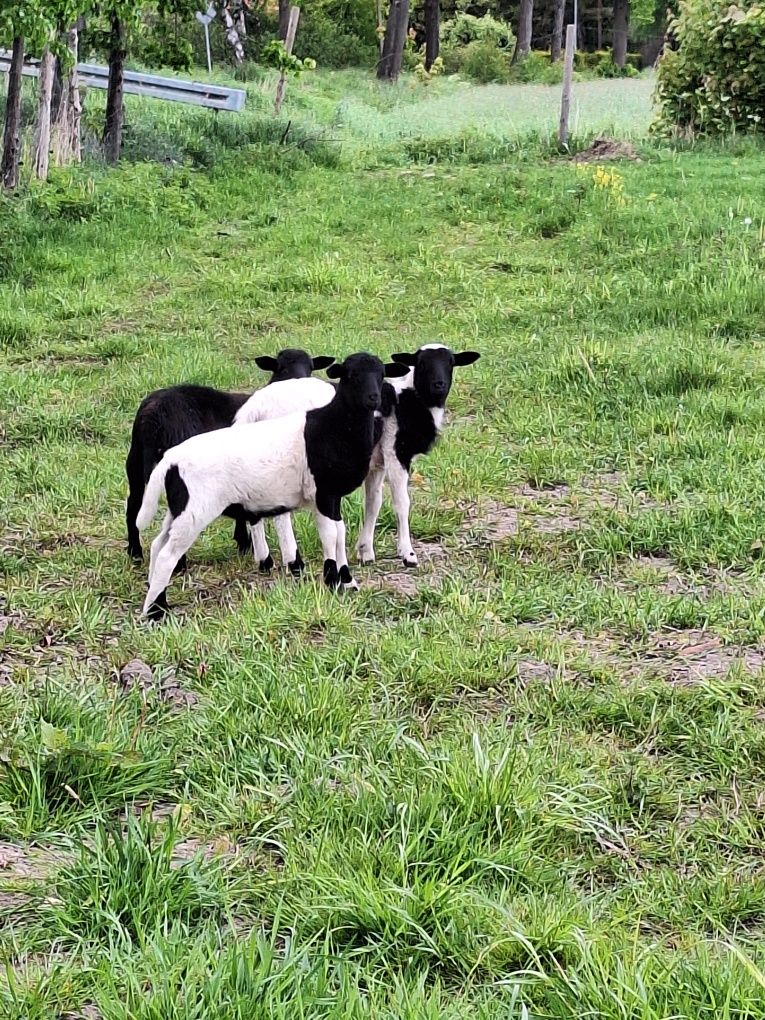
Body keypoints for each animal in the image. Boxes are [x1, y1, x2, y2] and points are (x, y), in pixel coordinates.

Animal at [124, 346, 334, 563]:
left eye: (311, 368)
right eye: (281, 368)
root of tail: (152, 417)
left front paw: (244, 543)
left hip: (135, 462)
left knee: (133, 505)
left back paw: (135, 552)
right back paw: (178, 563)